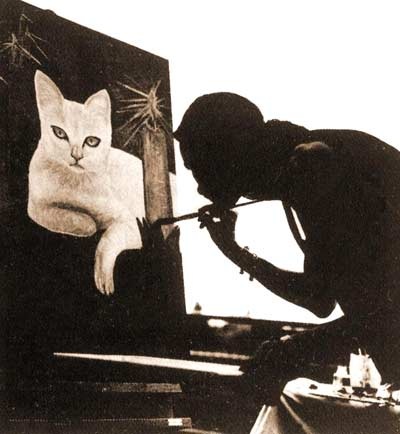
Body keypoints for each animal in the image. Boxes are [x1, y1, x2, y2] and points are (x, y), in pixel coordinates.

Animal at [28, 70, 146, 296]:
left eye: (91, 141)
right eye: (59, 133)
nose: (77, 156)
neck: (72, 184)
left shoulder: (130, 223)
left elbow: (107, 239)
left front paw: (103, 278)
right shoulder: (35, 204)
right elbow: (58, 215)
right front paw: (87, 222)